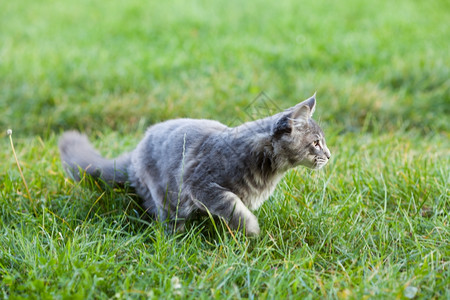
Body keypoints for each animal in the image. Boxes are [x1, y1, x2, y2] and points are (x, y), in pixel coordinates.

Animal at [59, 95, 330, 236]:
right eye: (316, 143)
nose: (329, 155)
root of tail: (135, 153)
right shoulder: (200, 184)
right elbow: (233, 205)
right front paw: (252, 230)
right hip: (165, 195)